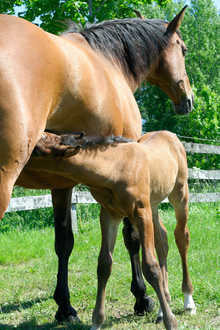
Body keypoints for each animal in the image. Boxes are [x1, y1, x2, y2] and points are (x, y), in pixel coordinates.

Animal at [0, 5, 192, 322]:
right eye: (184, 49)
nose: (188, 99)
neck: (108, 61)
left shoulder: (61, 183)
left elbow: (64, 241)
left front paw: (64, 307)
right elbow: (132, 237)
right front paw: (142, 298)